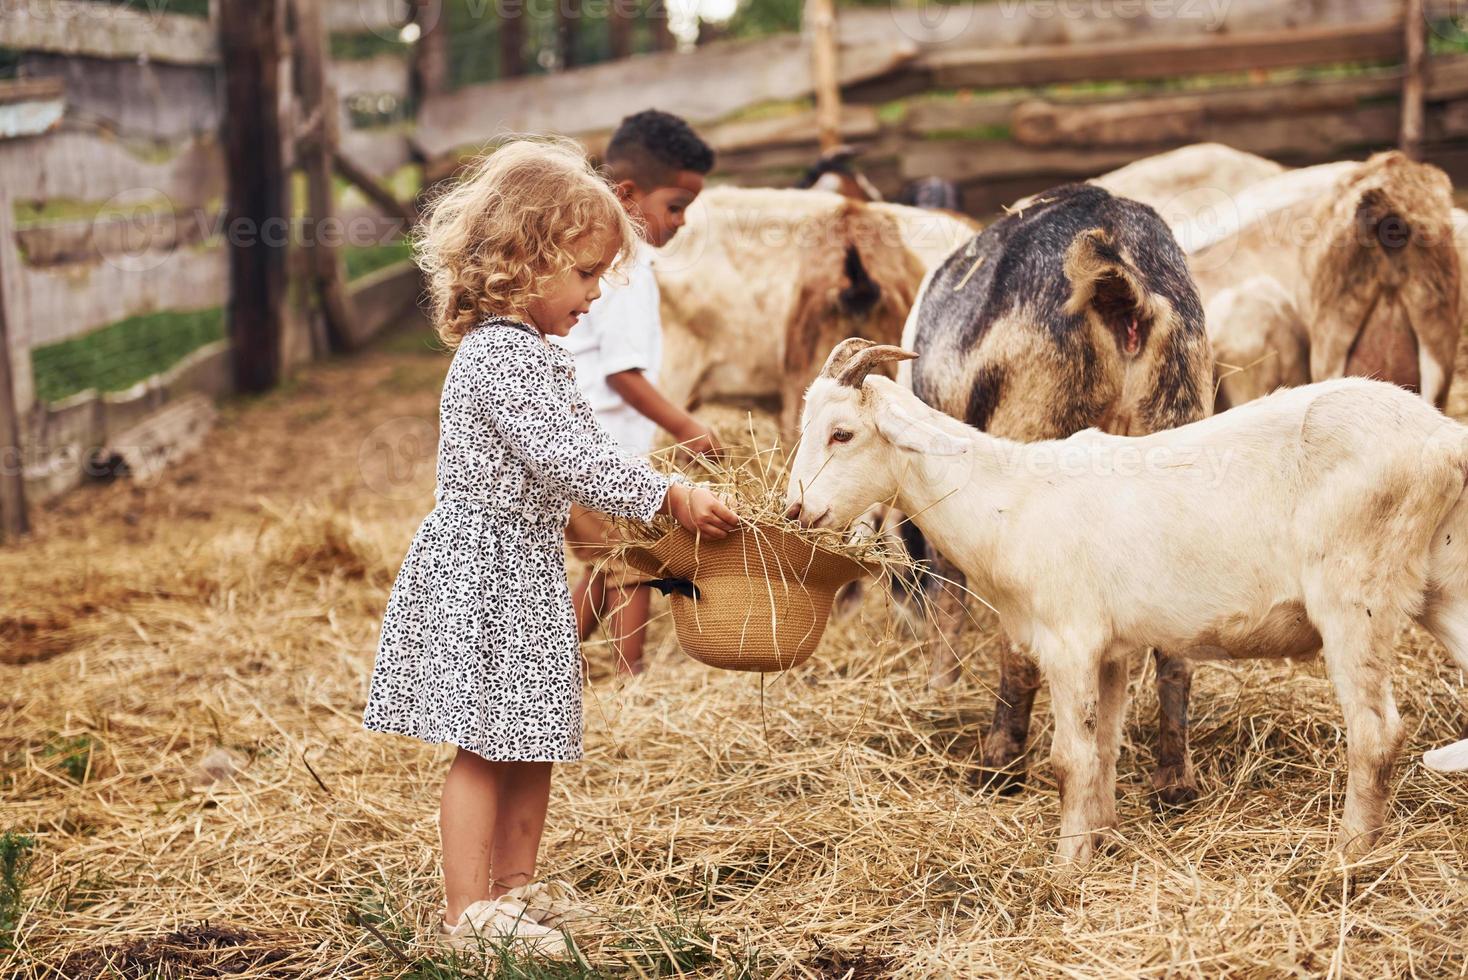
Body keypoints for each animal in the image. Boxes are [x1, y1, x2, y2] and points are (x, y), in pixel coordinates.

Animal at [786, 338, 1468, 862]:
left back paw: (1347, 855)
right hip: (1443, 583)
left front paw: (1066, 865)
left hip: (1356, 596)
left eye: (842, 433)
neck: (1008, 499)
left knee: (1376, 733)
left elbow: (1069, 759)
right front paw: (1102, 837)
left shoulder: (1069, 640)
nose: (795, 511)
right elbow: (1103, 750)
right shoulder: (1111, 650)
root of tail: (1445, 439)